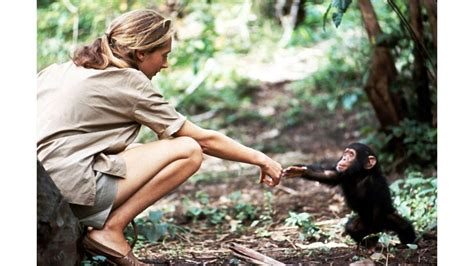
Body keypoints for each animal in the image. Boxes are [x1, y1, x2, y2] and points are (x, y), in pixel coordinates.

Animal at [286, 143, 414, 247]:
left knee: (404, 226)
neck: (359, 175)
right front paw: (297, 170)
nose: (344, 158)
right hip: (362, 220)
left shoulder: (377, 185)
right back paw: (366, 244)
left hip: (386, 218)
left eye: (351, 154)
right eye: (345, 153)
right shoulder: (341, 174)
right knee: (351, 227)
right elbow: (327, 174)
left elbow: (379, 207)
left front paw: (374, 236)